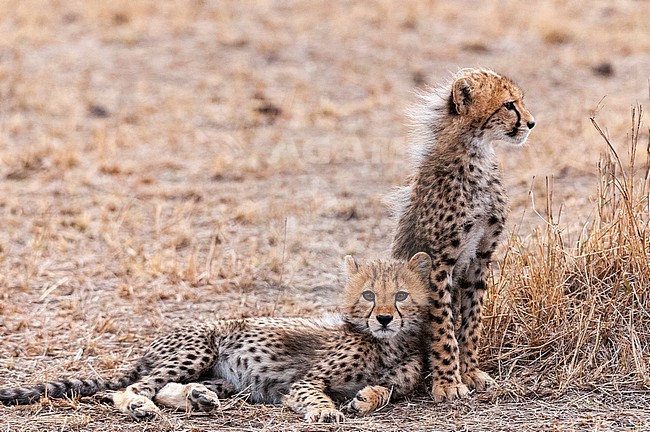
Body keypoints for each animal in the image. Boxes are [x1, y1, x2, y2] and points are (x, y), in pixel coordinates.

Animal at [1, 253, 433, 423]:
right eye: (368, 295)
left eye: (400, 295)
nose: (383, 318)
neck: (388, 344)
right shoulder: (304, 381)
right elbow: (315, 394)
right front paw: (327, 411)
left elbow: (389, 389)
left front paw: (366, 397)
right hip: (200, 348)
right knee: (132, 389)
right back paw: (142, 406)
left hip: (233, 380)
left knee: (166, 388)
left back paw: (199, 398)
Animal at [390, 68, 535, 402]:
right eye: (509, 105)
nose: (532, 122)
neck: (475, 154)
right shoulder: (438, 262)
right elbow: (443, 326)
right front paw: (448, 382)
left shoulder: (481, 257)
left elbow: (472, 320)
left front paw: (469, 372)